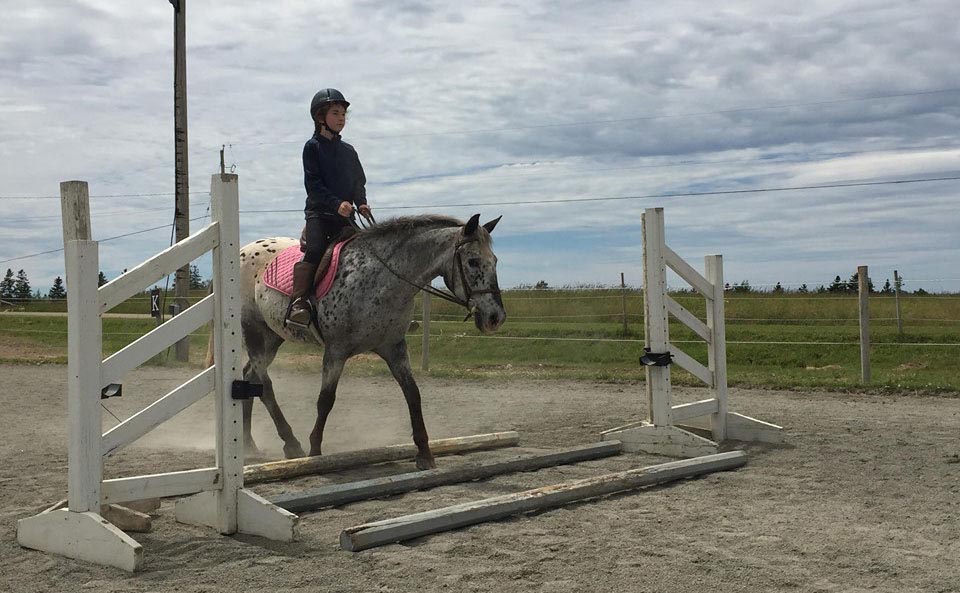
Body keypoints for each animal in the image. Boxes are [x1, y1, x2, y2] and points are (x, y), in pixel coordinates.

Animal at [236, 213, 506, 468]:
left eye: (494, 261)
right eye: (472, 261)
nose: (495, 317)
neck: (380, 280)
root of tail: (243, 250)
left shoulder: (394, 348)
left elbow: (413, 394)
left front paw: (424, 454)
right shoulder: (336, 351)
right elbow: (326, 400)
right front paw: (315, 452)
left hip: (272, 337)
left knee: (250, 375)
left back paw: (249, 443)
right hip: (254, 331)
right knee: (265, 385)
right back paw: (291, 444)